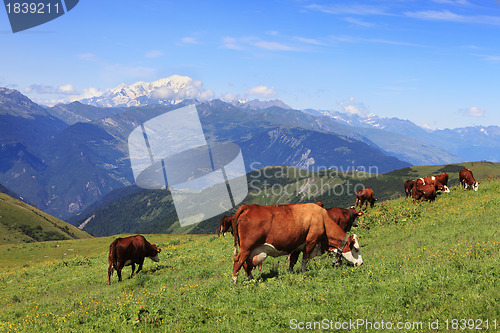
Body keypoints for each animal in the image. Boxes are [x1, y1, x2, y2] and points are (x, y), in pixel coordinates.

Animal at [230, 202, 364, 282]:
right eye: (356, 249)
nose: (361, 263)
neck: (322, 219)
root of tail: (248, 206)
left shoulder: (297, 246)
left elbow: (292, 261)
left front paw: (290, 273)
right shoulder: (311, 241)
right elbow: (305, 259)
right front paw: (303, 272)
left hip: (248, 250)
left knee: (245, 264)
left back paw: (251, 279)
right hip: (247, 248)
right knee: (238, 261)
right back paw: (234, 283)